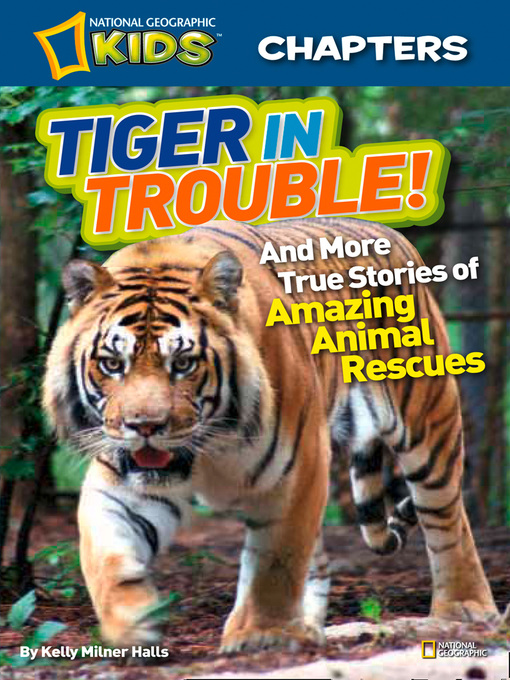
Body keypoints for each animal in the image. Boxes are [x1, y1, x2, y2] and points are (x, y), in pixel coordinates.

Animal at [43, 217, 497, 652]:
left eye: (184, 363)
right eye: (112, 363)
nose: (144, 427)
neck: (208, 449)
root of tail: (389, 232)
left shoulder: (298, 470)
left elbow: (275, 562)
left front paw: (260, 634)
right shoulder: (120, 482)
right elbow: (105, 557)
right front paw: (133, 624)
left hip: (428, 420)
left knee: (447, 518)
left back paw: (465, 609)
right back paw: (310, 629)